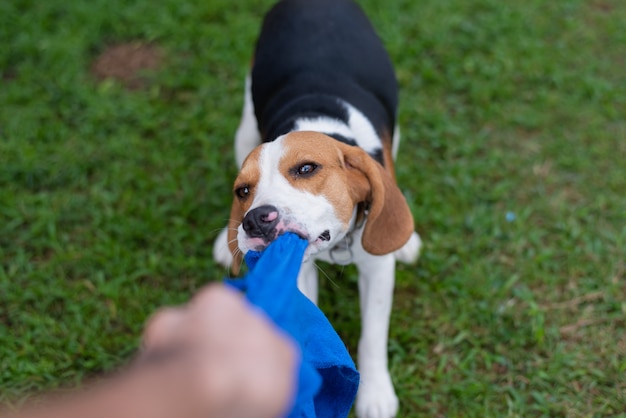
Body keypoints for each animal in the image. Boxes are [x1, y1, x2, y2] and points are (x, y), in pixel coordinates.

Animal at [212, 1, 422, 416]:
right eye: (243, 191)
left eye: (306, 168)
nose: (255, 220)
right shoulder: (297, 267)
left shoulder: (377, 268)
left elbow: (373, 335)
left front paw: (374, 394)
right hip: (244, 124)